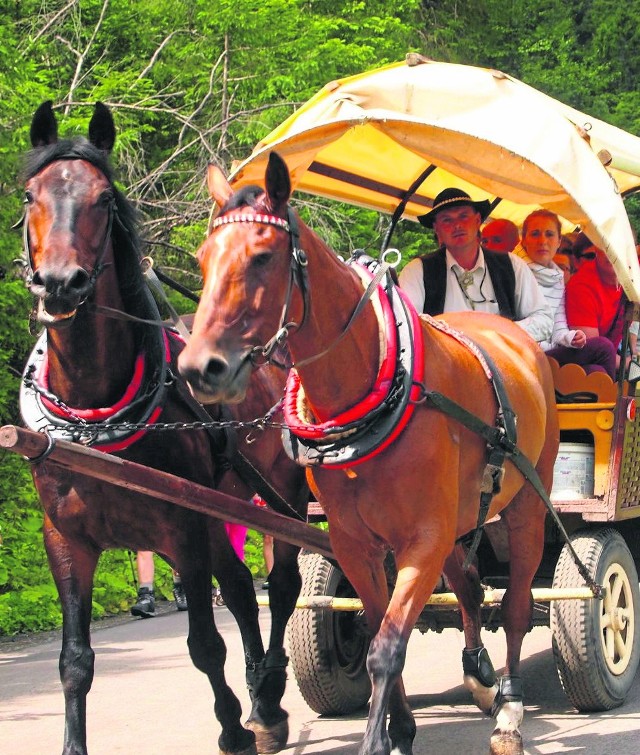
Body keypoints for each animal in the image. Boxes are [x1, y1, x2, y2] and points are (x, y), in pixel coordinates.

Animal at [20, 106, 308, 755]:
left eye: (104, 198)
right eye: (29, 195)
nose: (60, 283)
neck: (97, 411)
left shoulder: (181, 526)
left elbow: (204, 644)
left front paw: (232, 728)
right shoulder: (65, 538)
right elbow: (74, 662)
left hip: (284, 495)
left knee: (281, 585)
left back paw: (270, 697)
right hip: (226, 500)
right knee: (241, 589)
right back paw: (260, 695)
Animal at [179, 154, 560, 755]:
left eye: (263, 256)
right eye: (202, 259)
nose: (199, 369)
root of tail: (512, 334)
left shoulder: (422, 540)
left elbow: (387, 647)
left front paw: (382, 737)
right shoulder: (356, 545)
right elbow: (377, 624)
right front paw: (401, 727)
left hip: (526, 506)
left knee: (518, 606)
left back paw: (509, 710)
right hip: (458, 520)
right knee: (471, 585)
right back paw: (479, 675)